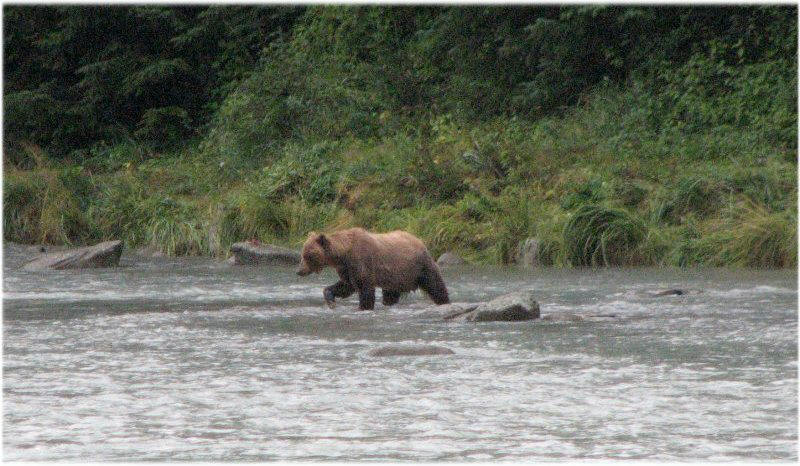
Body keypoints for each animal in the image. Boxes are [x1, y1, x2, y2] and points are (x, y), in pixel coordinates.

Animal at [298, 228, 450, 312]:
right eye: (302, 253)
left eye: (307, 255)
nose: (299, 271)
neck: (343, 254)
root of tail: (419, 240)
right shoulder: (346, 269)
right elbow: (345, 286)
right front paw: (330, 298)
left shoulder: (361, 262)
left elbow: (364, 289)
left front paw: (363, 307)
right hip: (394, 277)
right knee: (390, 295)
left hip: (419, 267)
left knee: (435, 286)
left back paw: (444, 301)